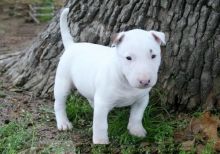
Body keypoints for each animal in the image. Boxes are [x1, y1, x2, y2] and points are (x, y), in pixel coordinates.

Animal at [54, 7, 165, 144]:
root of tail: (72, 45)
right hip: (62, 81)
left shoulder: (142, 99)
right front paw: (100, 141)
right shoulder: (102, 103)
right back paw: (63, 123)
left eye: (153, 55)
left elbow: (136, 116)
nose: (144, 81)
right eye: (128, 58)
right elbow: (100, 124)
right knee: (59, 103)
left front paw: (136, 131)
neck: (125, 82)